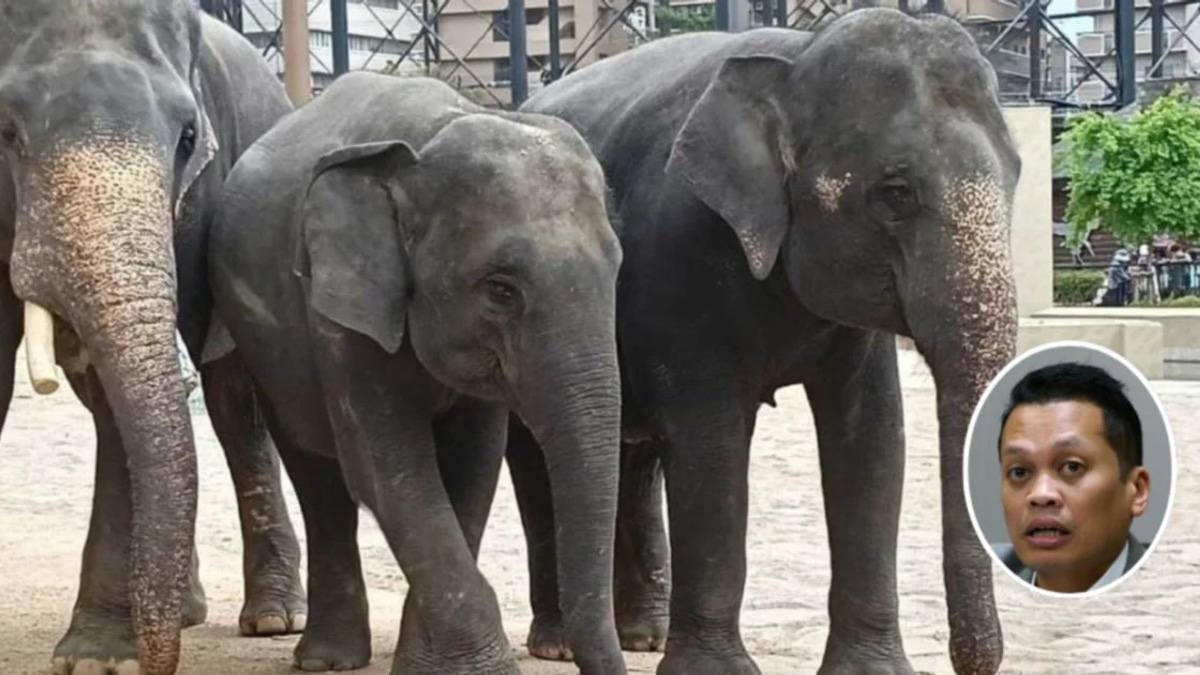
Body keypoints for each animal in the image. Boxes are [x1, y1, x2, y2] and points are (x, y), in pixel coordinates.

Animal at [0, 2, 308, 673]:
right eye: (4, 131)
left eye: (189, 138)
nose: (157, 661)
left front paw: (95, 660)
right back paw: (183, 610)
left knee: (233, 399)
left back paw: (274, 618)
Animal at [205, 70, 628, 675]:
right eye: (500, 289)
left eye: (617, 269)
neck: (427, 139)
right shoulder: (337, 315)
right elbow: (390, 467)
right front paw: (481, 670)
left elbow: (473, 466)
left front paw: (427, 665)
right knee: (317, 474)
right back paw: (327, 661)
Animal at [505, 7, 1022, 675]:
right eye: (895, 194)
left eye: (1016, 176)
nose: (974, 661)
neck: (796, 58)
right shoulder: (680, 258)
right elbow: (712, 441)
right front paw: (714, 672)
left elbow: (874, 440)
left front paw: (872, 671)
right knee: (538, 457)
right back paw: (558, 644)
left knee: (634, 459)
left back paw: (642, 636)